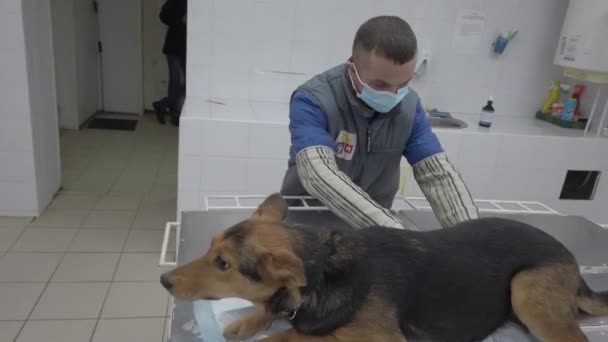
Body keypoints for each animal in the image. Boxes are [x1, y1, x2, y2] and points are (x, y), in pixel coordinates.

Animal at [160, 194, 608, 340]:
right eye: (210, 248)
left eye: (223, 263)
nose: (163, 279)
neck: (326, 274)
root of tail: (574, 263)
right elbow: (271, 310)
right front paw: (245, 321)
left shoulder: (380, 338)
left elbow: (299, 337)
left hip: (526, 290)